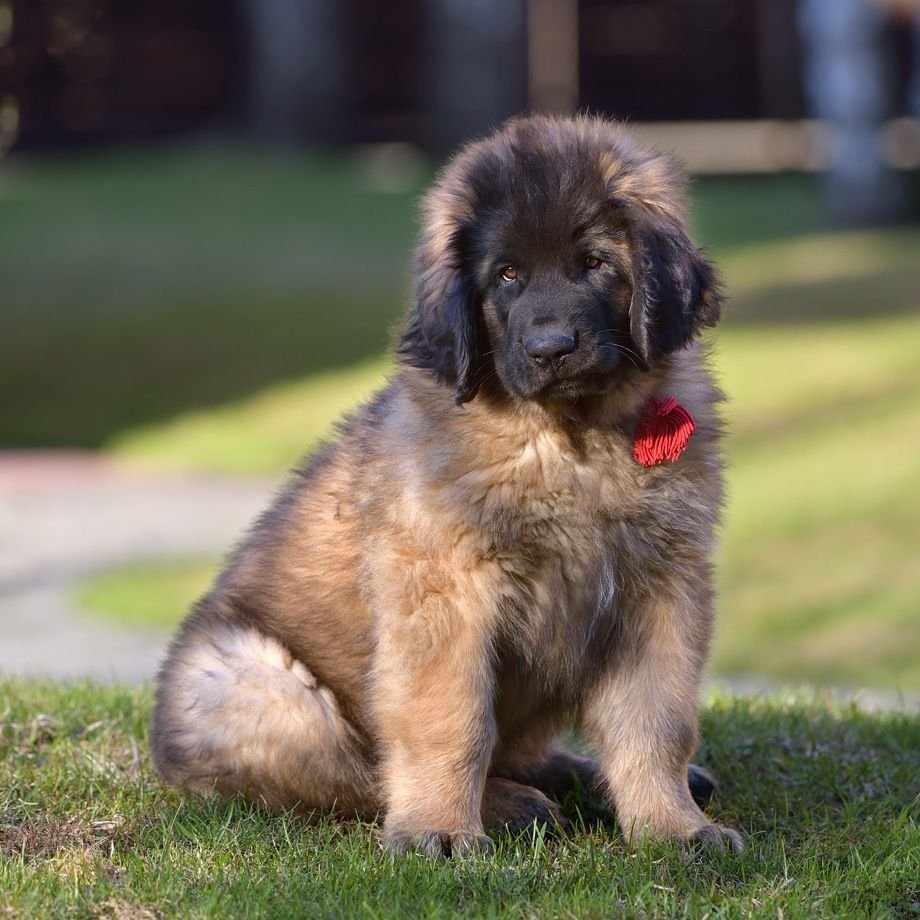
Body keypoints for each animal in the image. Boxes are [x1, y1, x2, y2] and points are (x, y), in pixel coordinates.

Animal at [149, 113, 740, 856]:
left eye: (597, 263)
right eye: (507, 276)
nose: (551, 349)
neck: (568, 442)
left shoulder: (659, 585)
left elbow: (655, 723)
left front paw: (673, 828)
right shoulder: (444, 590)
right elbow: (450, 721)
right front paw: (441, 830)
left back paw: (578, 775)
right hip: (253, 684)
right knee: (359, 774)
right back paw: (510, 804)